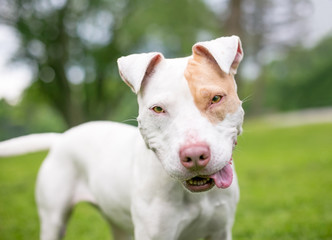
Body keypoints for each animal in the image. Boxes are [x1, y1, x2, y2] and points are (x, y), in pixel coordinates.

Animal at [0, 35, 244, 240]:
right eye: (157, 109)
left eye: (216, 98)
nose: (194, 155)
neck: (195, 196)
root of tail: (63, 137)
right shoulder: (154, 234)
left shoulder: (220, 231)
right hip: (53, 220)